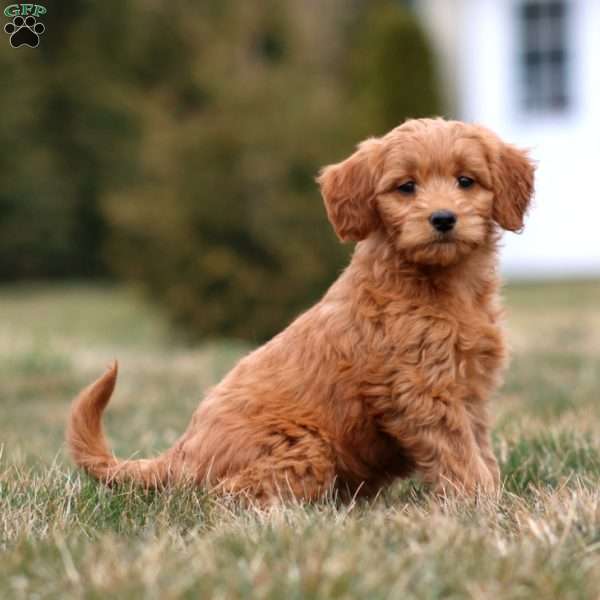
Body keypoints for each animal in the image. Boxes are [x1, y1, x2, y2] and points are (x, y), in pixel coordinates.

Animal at [68, 117, 536, 502]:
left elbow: (479, 448)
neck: (442, 286)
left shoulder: (470, 392)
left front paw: (493, 493)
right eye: (406, 187)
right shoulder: (421, 390)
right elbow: (458, 454)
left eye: (466, 181)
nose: (442, 218)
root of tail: (182, 452)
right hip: (304, 447)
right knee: (224, 494)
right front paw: (480, 503)